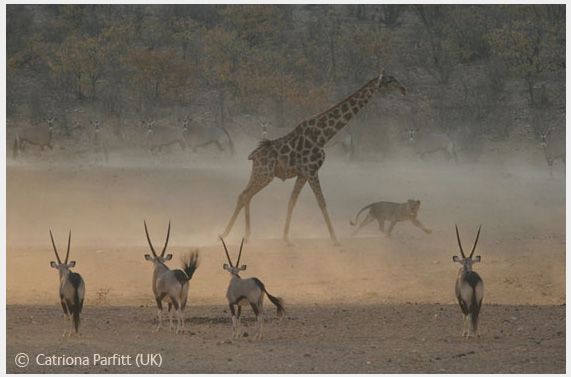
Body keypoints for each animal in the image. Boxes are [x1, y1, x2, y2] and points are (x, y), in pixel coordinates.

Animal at [222, 72, 406, 245]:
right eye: (389, 81)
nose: (403, 89)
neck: (323, 135)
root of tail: (253, 156)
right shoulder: (312, 170)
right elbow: (321, 202)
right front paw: (335, 240)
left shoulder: (303, 174)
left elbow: (292, 202)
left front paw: (286, 238)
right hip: (264, 174)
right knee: (245, 195)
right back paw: (228, 235)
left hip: (260, 173)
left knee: (245, 195)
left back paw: (241, 236)